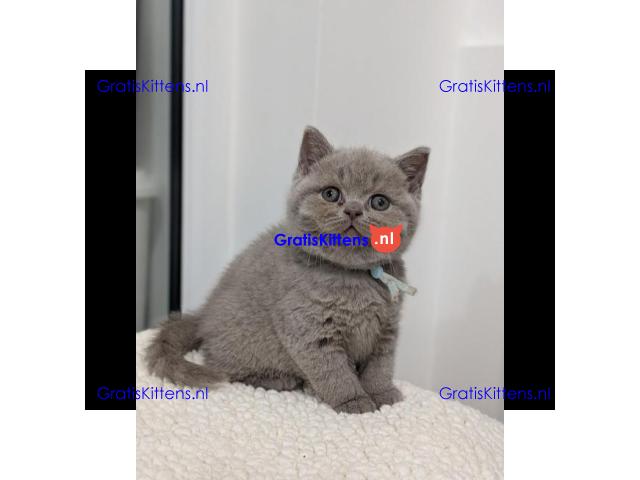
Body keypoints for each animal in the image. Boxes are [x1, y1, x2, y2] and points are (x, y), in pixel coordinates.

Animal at [146, 126, 429, 414]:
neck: (353, 278)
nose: (353, 210)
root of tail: (203, 314)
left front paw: (382, 394)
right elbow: (334, 372)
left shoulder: (387, 328)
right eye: (331, 194)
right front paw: (354, 401)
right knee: (225, 367)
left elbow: (381, 366)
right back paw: (280, 379)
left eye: (380, 202)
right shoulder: (308, 329)